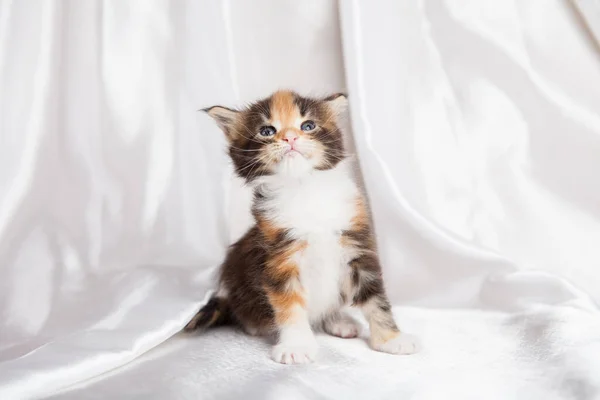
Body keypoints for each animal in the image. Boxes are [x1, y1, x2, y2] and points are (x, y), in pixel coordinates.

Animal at [185, 90, 420, 362]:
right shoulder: (279, 256)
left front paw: (391, 339)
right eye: (267, 130)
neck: (303, 187)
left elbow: (376, 299)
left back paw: (338, 321)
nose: (290, 137)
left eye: (308, 126)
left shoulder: (358, 245)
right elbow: (289, 305)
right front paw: (296, 346)